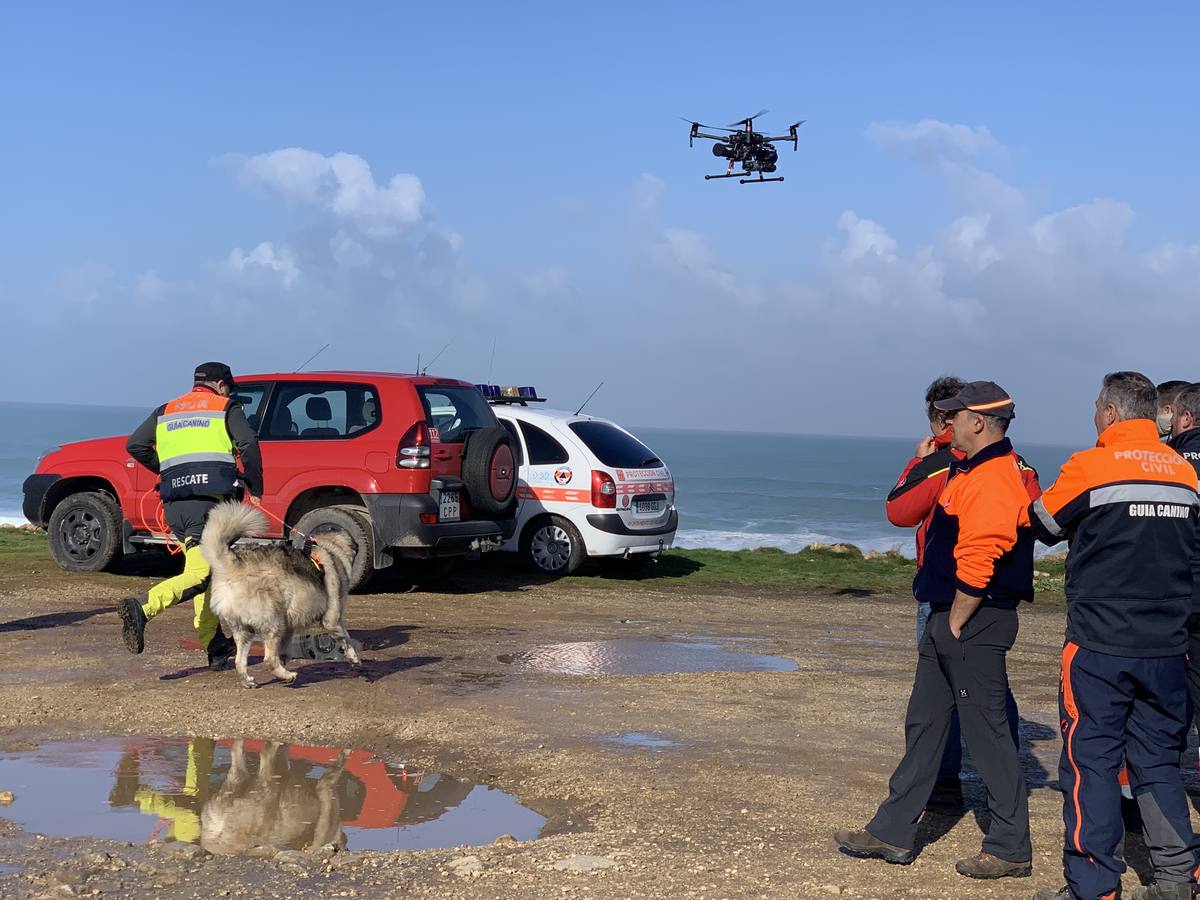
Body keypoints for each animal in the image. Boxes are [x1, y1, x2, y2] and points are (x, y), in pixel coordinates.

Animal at [201, 501, 357, 691]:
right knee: (269, 659)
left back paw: (249, 681)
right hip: (274, 624)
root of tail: (231, 565)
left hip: (245, 630)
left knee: (239, 661)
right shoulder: (332, 620)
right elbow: (346, 638)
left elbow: (285, 650)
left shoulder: (290, 627)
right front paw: (353, 657)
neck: (330, 549)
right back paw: (287, 675)